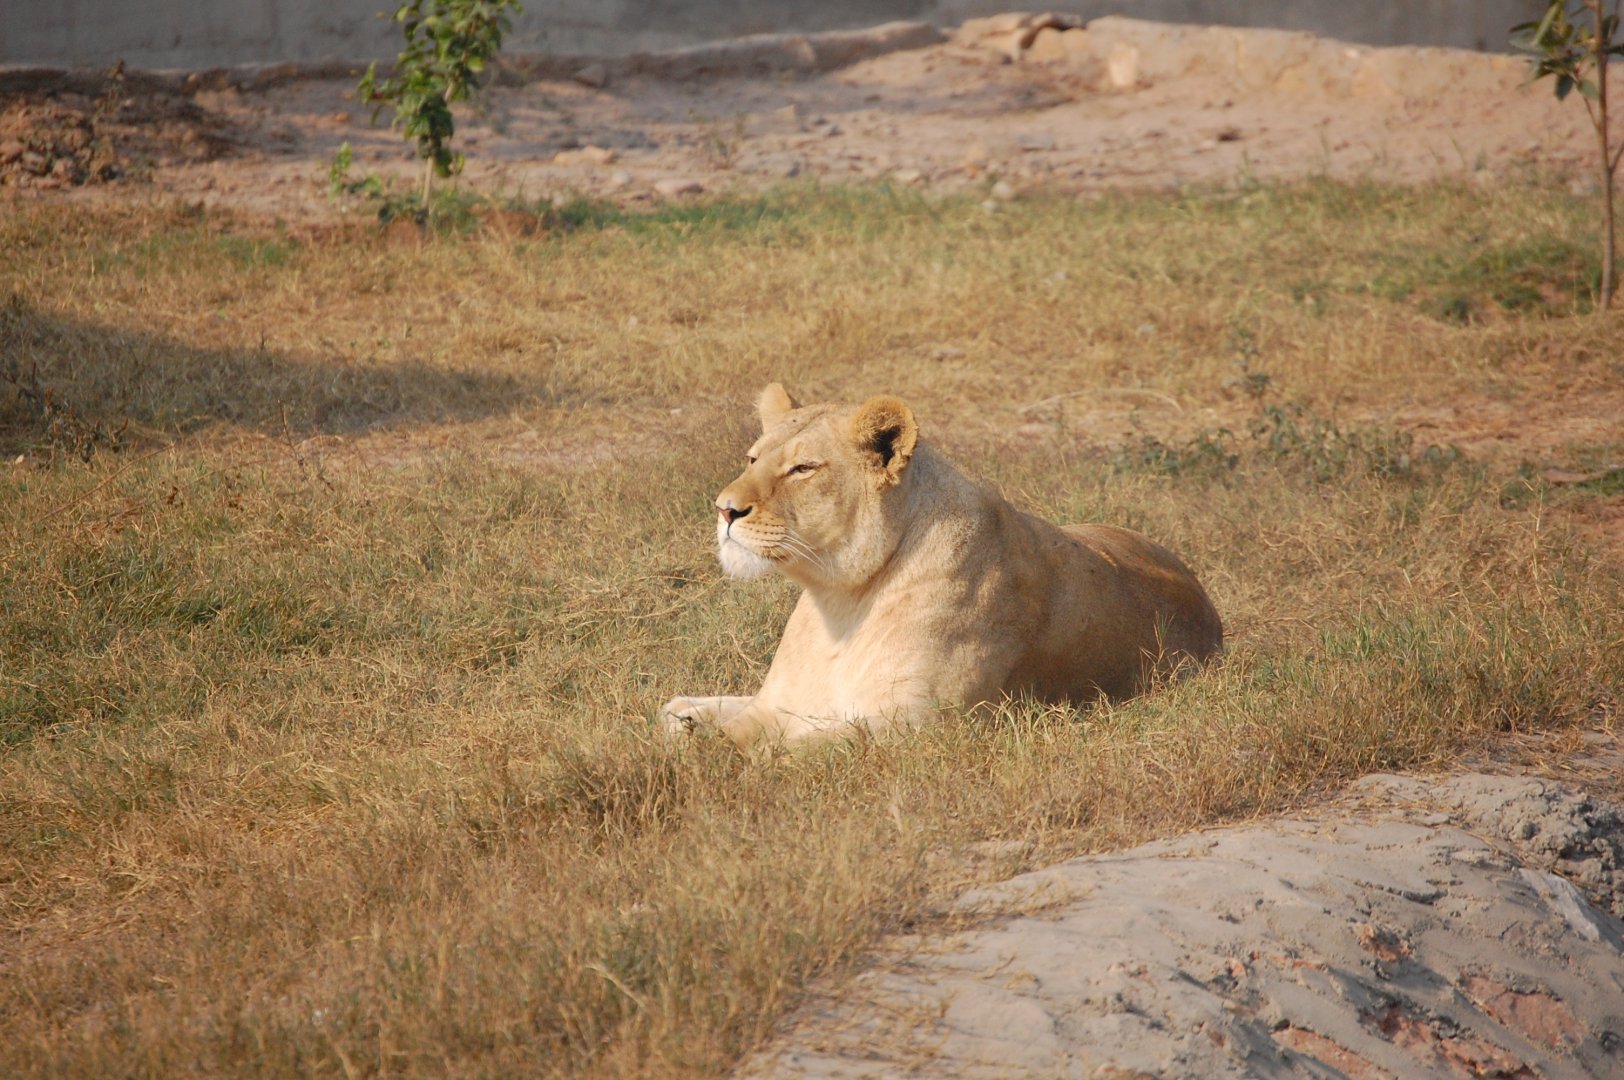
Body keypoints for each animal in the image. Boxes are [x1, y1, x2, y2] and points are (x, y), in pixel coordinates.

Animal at [660, 384, 1222, 747]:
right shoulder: (779, 699)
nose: (724, 509)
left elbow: (790, 742)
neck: (839, 601)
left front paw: (703, 746)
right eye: (752, 459)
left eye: (802, 468)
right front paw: (686, 718)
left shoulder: (928, 723)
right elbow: (738, 717)